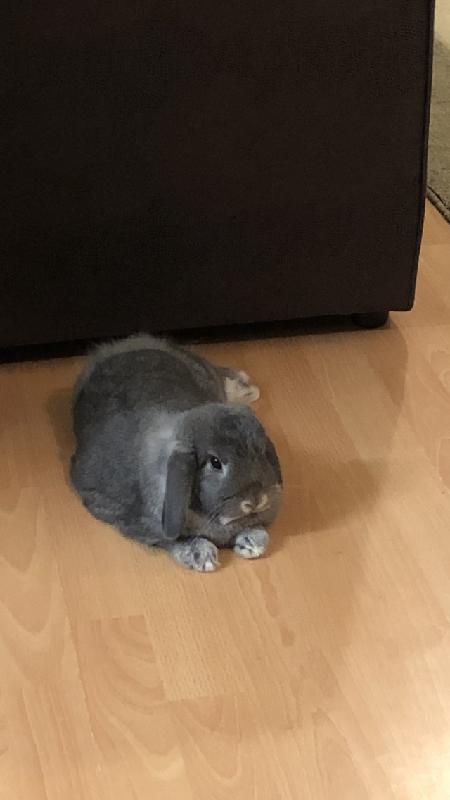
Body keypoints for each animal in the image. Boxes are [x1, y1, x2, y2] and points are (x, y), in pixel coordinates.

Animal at [71, 334, 282, 571]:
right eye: (215, 462)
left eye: (260, 452)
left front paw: (252, 543)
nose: (255, 500)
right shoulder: (135, 523)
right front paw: (203, 557)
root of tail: (126, 345)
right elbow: (173, 541)